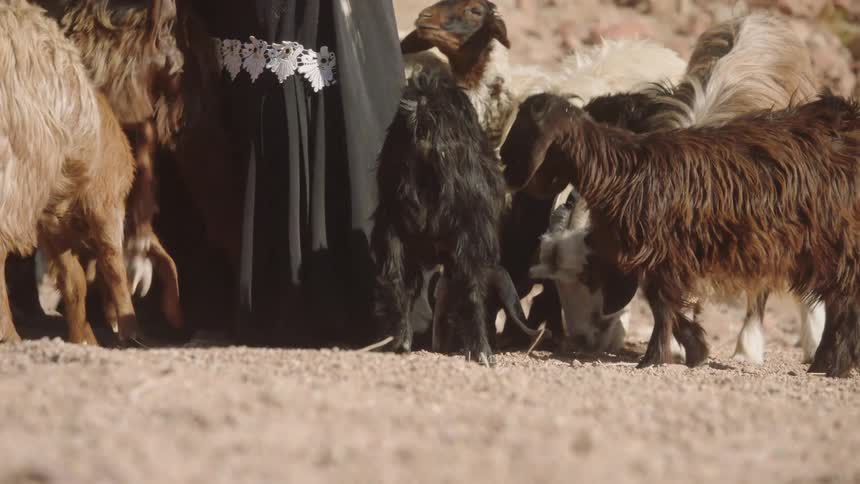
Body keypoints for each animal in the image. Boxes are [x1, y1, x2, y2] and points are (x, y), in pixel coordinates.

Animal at [0, 0, 139, 345]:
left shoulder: (52, 222)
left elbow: (73, 279)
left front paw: (84, 335)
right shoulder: (105, 200)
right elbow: (112, 263)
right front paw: (126, 328)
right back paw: (10, 335)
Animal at [371, 72, 543, 365]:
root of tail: (424, 117)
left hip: (393, 230)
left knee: (395, 280)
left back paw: (398, 341)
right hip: (469, 233)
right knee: (470, 289)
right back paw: (481, 351)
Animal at [500, 91, 860, 378]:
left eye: (524, 127)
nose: (502, 160)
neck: (623, 172)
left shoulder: (666, 252)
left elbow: (662, 305)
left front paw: (653, 358)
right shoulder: (666, 258)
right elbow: (665, 302)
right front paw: (695, 349)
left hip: (835, 244)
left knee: (842, 303)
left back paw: (834, 365)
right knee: (839, 302)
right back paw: (829, 364)